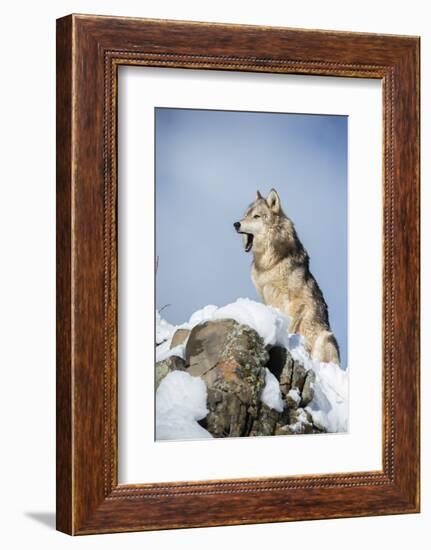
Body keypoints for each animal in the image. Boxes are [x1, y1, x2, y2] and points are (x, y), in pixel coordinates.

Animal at [236, 190, 340, 366]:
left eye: (256, 216)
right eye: (246, 215)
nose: (236, 224)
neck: (270, 263)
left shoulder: (297, 301)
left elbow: (290, 324)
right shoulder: (265, 297)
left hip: (325, 338)